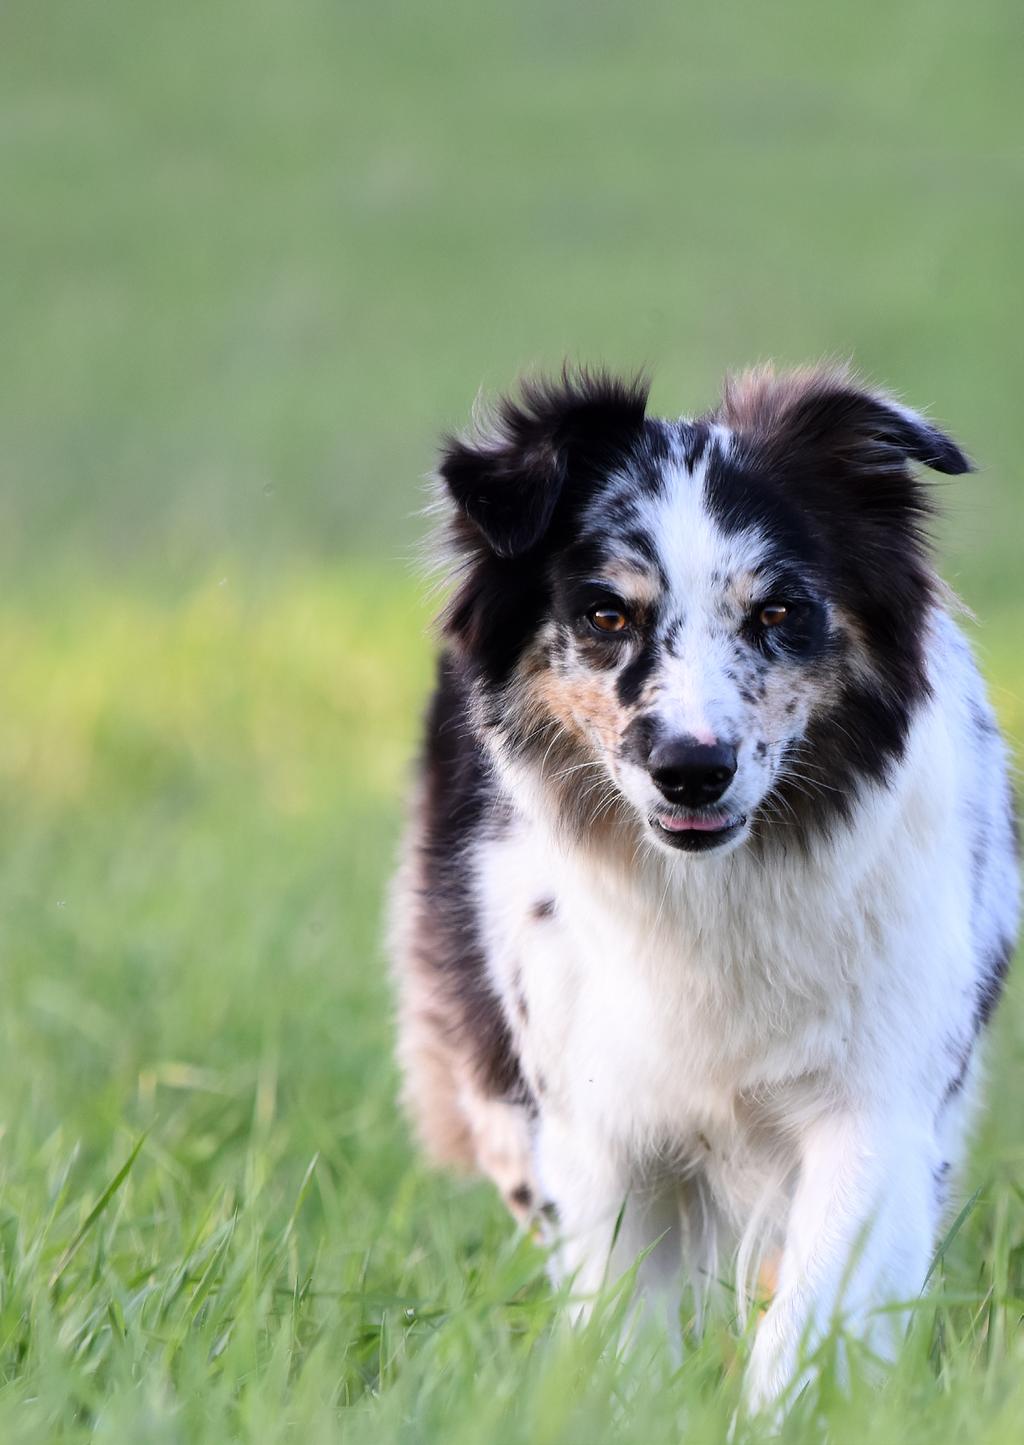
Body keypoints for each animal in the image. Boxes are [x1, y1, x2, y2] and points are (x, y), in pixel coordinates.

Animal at [389, 364, 1016, 1410]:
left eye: (780, 611)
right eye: (606, 614)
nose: (691, 770)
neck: (717, 888)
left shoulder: (877, 1100)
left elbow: (813, 1307)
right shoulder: (595, 1122)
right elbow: (624, 1317)